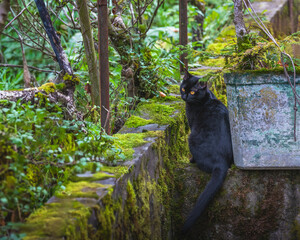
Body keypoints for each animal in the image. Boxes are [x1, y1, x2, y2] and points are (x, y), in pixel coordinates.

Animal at [179, 69, 233, 232]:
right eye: (183, 88)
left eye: (192, 91)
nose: (185, 96)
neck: (205, 98)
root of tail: (221, 163)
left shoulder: (191, 124)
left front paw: (190, 160)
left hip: (191, 138)